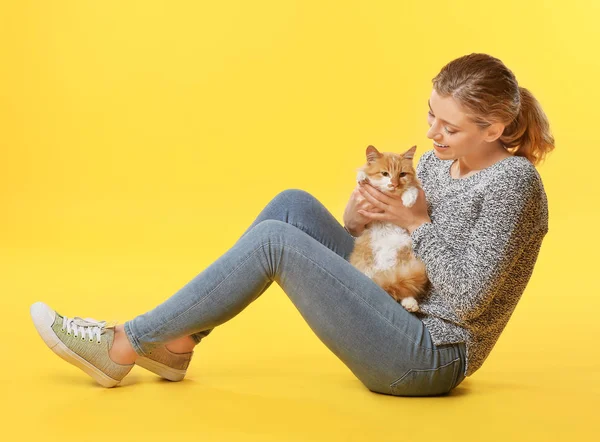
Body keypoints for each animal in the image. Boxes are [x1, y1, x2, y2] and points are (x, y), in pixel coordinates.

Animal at [346, 144, 432, 310]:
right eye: (385, 174)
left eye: (402, 174)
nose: (394, 184)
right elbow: (363, 174)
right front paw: (362, 177)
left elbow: (412, 188)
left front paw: (408, 199)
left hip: (404, 259)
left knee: (403, 287)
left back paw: (409, 302)